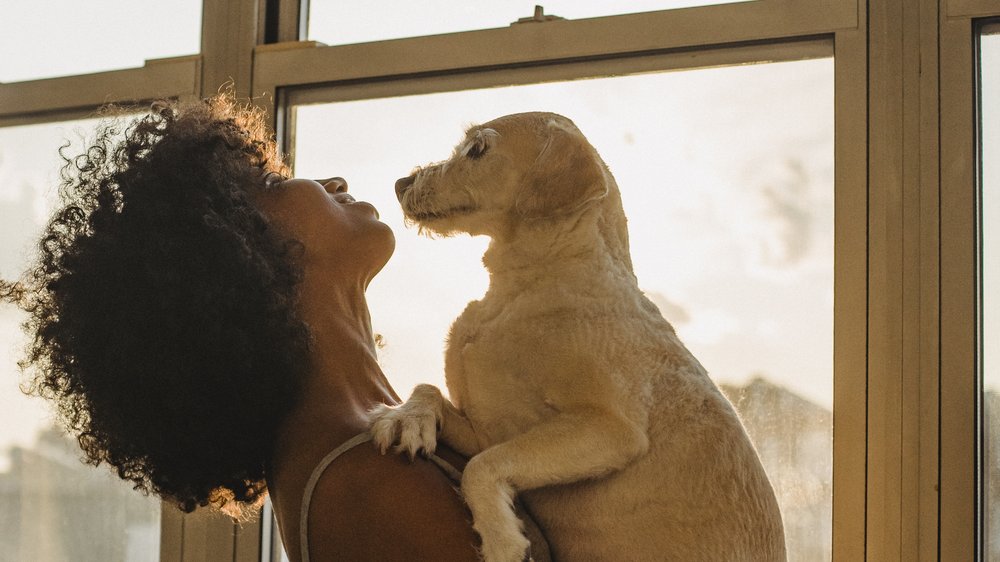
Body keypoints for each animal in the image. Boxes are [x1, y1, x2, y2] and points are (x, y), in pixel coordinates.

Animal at [372, 112, 784, 560]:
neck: (526, 287)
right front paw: (405, 418)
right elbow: (429, 389)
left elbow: (482, 467)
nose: (400, 184)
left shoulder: (611, 429)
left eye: (478, 149)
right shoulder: (486, 431)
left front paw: (501, 538)